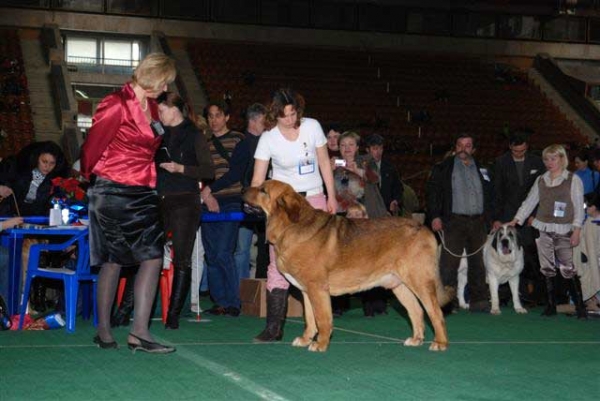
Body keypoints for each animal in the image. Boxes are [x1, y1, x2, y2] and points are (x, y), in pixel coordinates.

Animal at [243, 180, 450, 352]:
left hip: (420, 281)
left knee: (435, 312)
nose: (244, 189)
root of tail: (424, 228)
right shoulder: (306, 291)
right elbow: (310, 319)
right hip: (399, 285)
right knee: (416, 311)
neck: (289, 226)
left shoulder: (318, 289)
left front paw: (320, 344)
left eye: (263, 190)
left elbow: (322, 319)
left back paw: (439, 343)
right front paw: (306, 339)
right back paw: (416, 340)